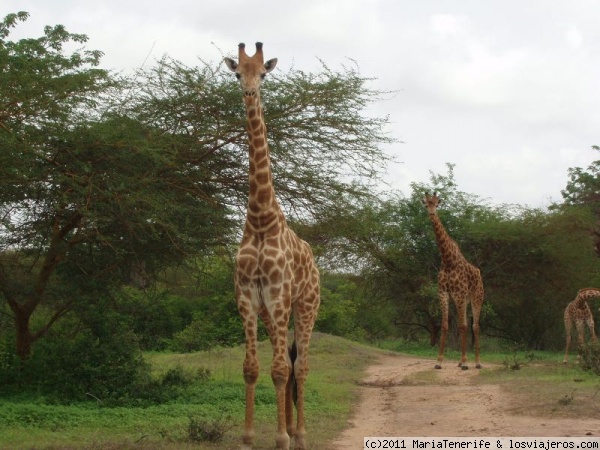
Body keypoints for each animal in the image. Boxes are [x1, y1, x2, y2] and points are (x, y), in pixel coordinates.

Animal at [422, 192, 482, 370]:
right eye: (426, 204)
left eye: (437, 204)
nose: (432, 214)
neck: (448, 260)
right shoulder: (443, 292)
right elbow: (445, 325)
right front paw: (439, 361)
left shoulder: (459, 293)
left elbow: (463, 326)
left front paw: (466, 363)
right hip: (463, 299)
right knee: (466, 324)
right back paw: (461, 361)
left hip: (476, 297)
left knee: (475, 326)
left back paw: (476, 362)